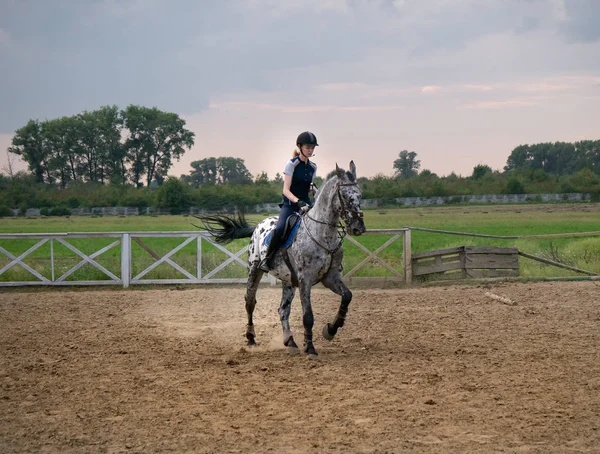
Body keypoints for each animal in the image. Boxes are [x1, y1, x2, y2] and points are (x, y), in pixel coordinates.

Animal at [196, 161, 366, 356]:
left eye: (360, 195)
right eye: (345, 195)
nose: (358, 227)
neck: (322, 234)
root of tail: (258, 226)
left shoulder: (330, 277)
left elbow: (347, 296)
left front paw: (331, 329)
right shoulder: (305, 279)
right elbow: (308, 316)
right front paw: (310, 348)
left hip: (288, 281)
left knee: (283, 309)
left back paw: (290, 340)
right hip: (254, 271)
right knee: (250, 302)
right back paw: (251, 338)